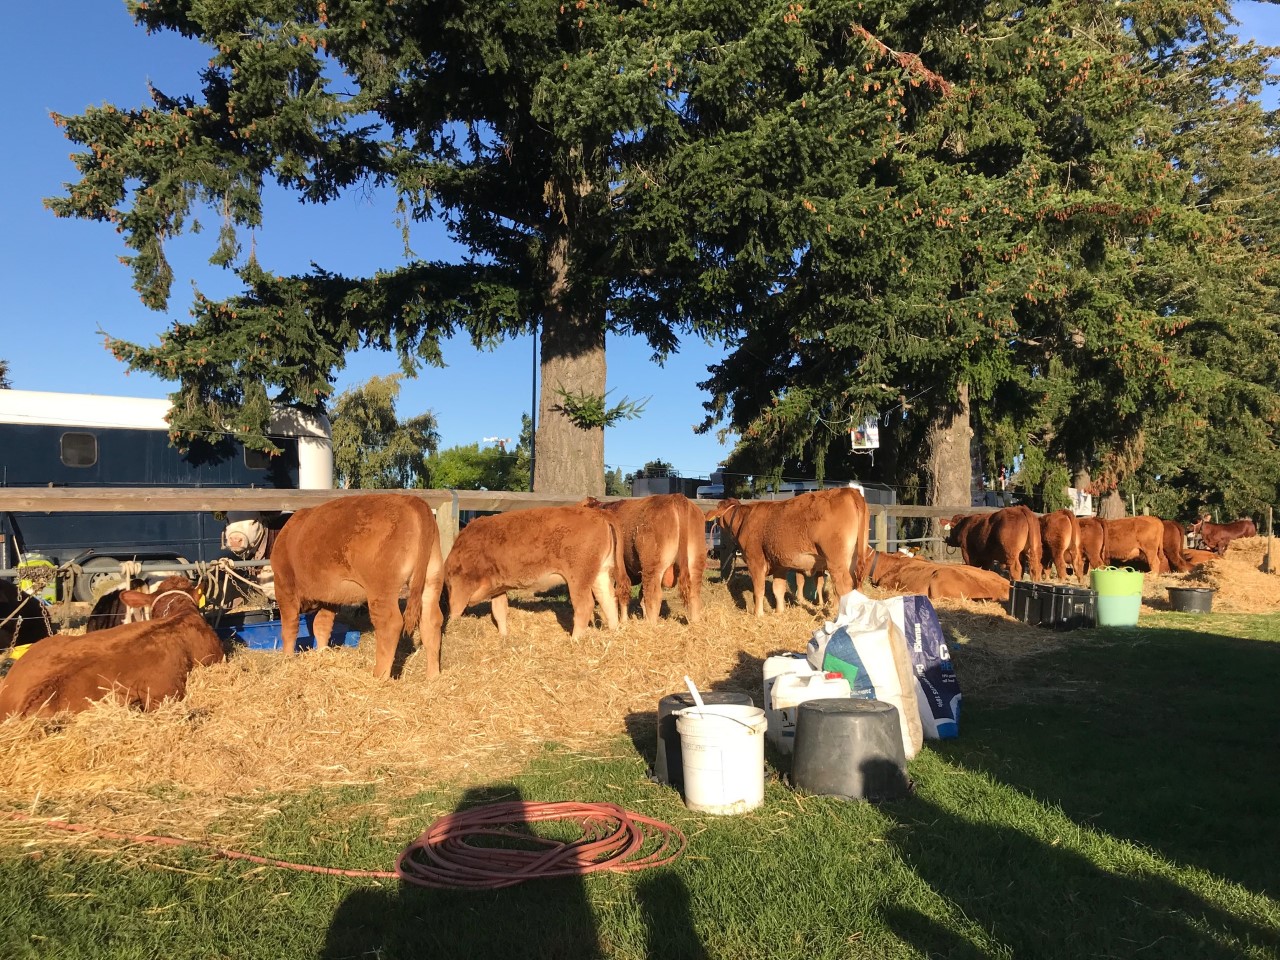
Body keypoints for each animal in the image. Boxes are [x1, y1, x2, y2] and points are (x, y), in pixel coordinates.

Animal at [269, 493, 444, 680]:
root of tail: (410, 499)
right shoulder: (329, 597)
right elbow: (321, 625)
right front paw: (322, 654)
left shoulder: (284, 585)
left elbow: (289, 627)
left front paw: (287, 659)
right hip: (431, 580)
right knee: (431, 621)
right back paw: (433, 676)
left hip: (381, 588)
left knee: (390, 624)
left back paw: (378, 676)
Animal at [444, 505, 629, 639]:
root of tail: (598, 512)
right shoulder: (498, 587)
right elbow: (499, 611)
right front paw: (504, 637)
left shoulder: (461, 584)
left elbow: (455, 611)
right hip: (600, 574)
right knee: (608, 600)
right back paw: (614, 633)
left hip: (578, 578)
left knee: (585, 606)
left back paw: (574, 640)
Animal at [579, 494, 706, 623]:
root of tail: (677, 497)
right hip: (695, 563)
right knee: (693, 593)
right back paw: (694, 622)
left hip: (652, 566)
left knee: (653, 595)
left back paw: (650, 624)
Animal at [703, 488, 871, 617]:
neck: (745, 519)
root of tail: (849, 491)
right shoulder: (780, 564)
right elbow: (778, 589)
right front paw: (779, 612)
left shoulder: (755, 559)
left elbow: (759, 589)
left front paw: (758, 614)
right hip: (853, 560)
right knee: (856, 585)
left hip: (836, 562)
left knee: (844, 586)